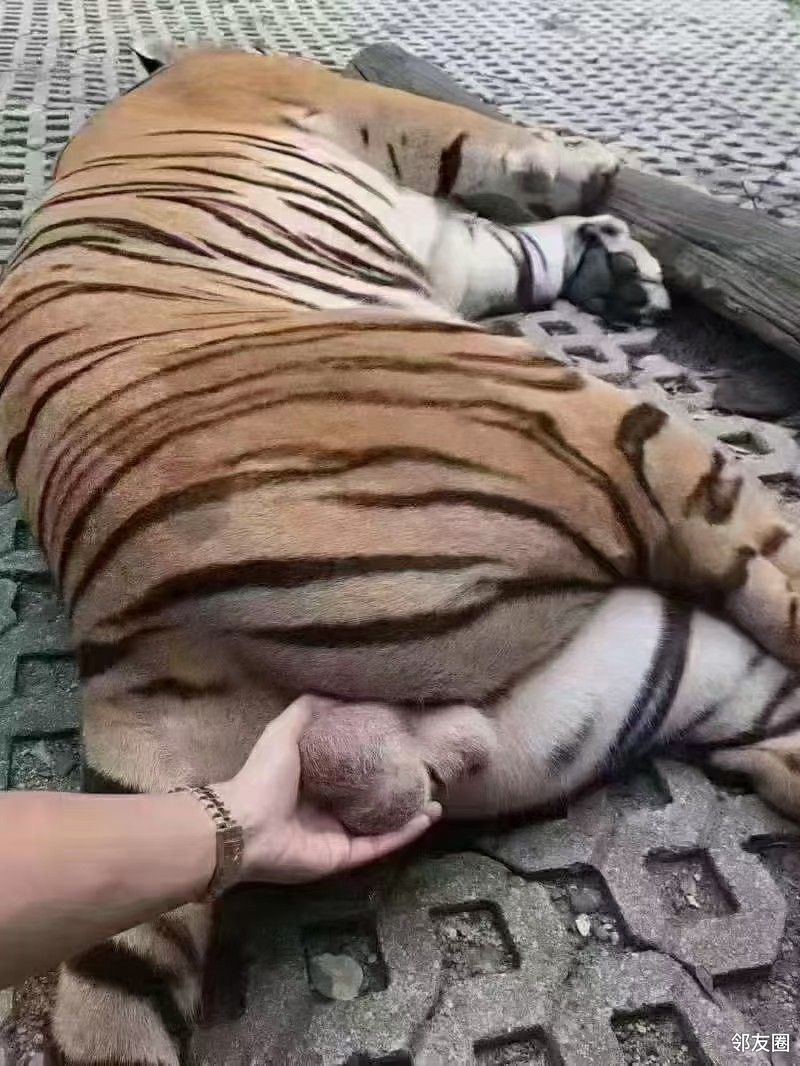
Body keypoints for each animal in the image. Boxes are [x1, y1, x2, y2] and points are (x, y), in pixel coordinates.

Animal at [2, 42, 800, 1066]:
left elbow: (521, 249)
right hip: (621, 437)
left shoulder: (460, 249)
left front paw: (614, 261)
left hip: (635, 676)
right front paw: (601, 180)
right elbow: (500, 148)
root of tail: (127, 634)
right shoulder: (376, 113)